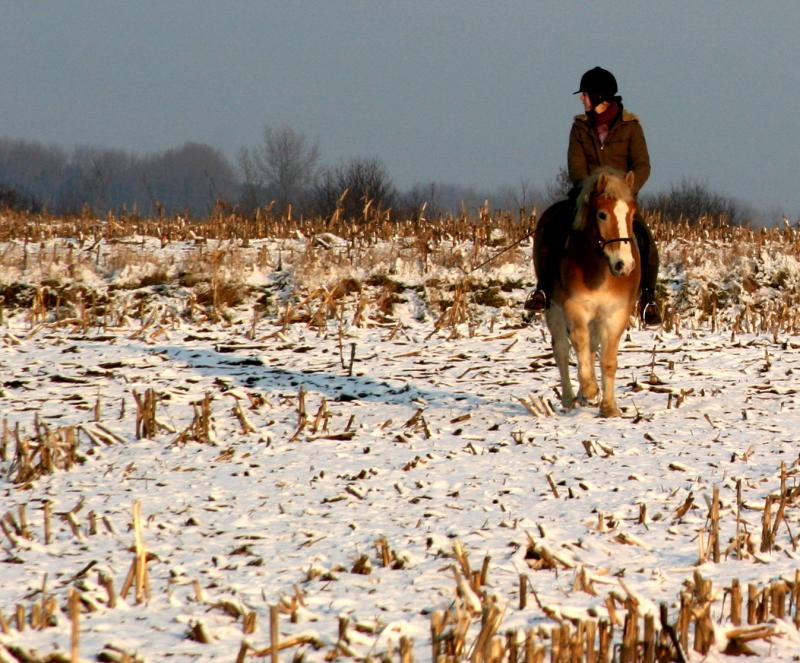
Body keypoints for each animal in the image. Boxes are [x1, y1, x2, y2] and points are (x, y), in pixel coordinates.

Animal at [534, 167, 641, 417]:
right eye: (602, 215)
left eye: (631, 215)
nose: (624, 265)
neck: (600, 272)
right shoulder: (575, 308)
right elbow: (578, 343)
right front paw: (589, 390)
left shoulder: (616, 314)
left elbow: (608, 360)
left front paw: (609, 407)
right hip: (553, 309)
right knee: (562, 350)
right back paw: (570, 398)